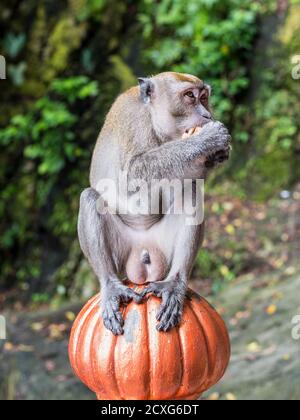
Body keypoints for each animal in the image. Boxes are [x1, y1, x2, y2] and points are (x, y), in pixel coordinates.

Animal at [78, 72, 232, 334]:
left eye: (204, 97)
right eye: (189, 96)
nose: (207, 115)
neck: (152, 119)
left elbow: (189, 182)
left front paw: (217, 153)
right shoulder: (133, 121)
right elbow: (131, 172)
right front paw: (207, 139)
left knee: (190, 192)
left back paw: (174, 284)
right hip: (122, 248)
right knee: (90, 198)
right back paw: (111, 285)